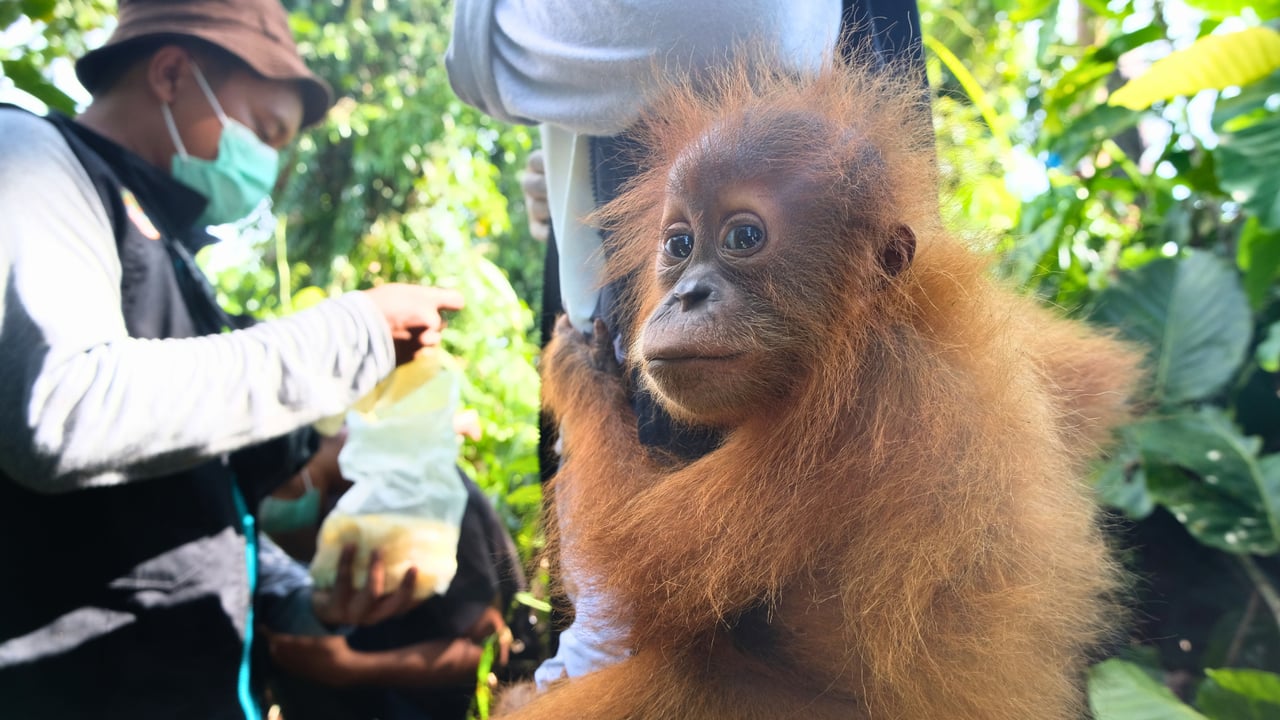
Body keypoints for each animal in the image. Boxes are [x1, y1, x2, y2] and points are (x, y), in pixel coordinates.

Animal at [508, 51, 1144, 720]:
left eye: (743, 238)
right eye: (679, 244)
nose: (687, 294)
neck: (869, 327)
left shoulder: (843, 428)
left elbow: (629, 567)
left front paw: (576, 373)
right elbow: (1094, 375)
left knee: (684, 669)